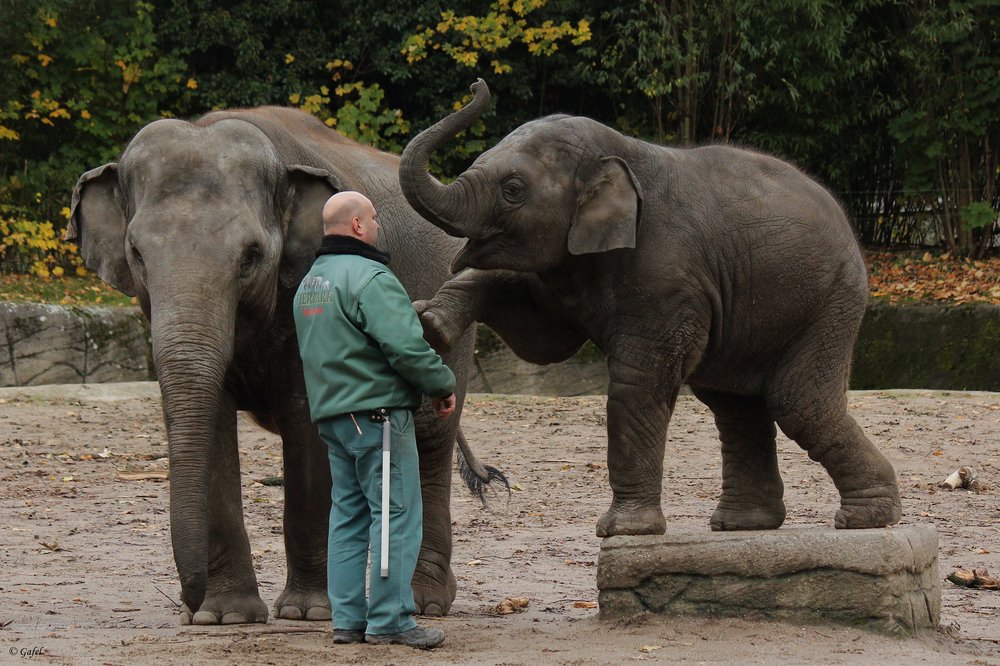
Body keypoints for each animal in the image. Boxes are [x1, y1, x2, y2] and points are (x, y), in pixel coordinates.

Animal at [66, 105, 484, 624]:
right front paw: (223, 617)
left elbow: (307, 428)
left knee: (430, 436)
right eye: (137, 255)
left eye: (251, 256)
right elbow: (212, 423)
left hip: (451, 313)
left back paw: (424, 602)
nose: (186, 603)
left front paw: (304, 613)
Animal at [402, 79, 904, 536]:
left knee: (798, 401)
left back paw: (866, 519)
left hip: (829, 303)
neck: (622, 151)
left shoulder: (668, 279)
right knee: (736, 406)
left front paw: (622, 531)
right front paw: (431, 323)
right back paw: (742, 525)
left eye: (512, 189)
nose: (477, 84)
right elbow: (541, 337)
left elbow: (636, 382)